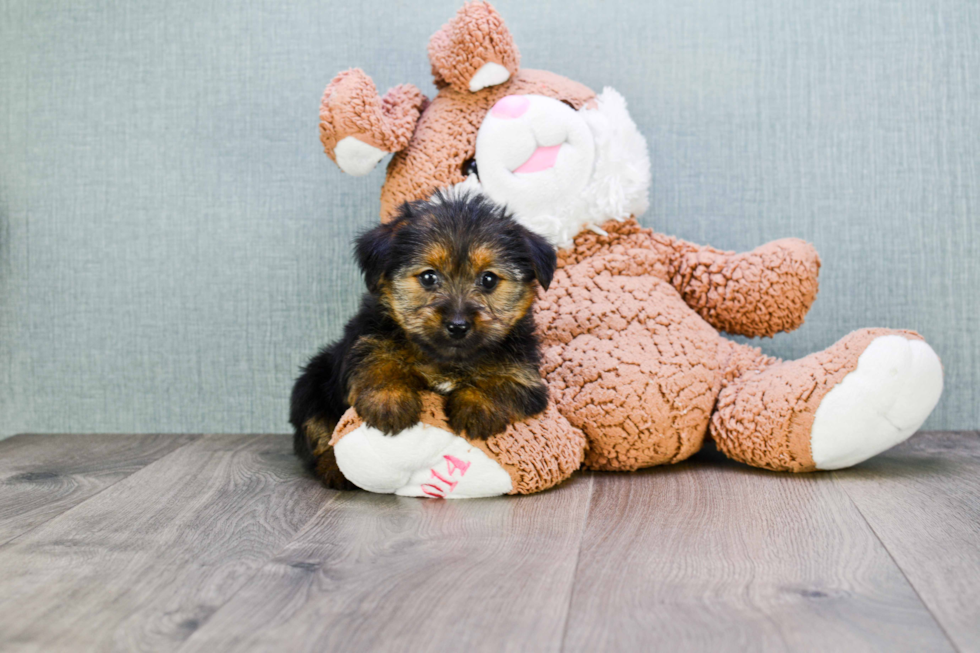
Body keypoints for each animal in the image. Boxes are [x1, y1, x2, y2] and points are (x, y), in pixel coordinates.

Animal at [288, 194, 556, 488]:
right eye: (429, 277)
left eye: (489, 279)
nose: (458, 325)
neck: (446, 360)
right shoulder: (364, 342)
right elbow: (377, 361)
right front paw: (389, 400)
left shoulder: (526, 376)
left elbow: (502, 383)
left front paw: (477, 407)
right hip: (311, 384)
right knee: (319, 434)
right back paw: (334, 469)